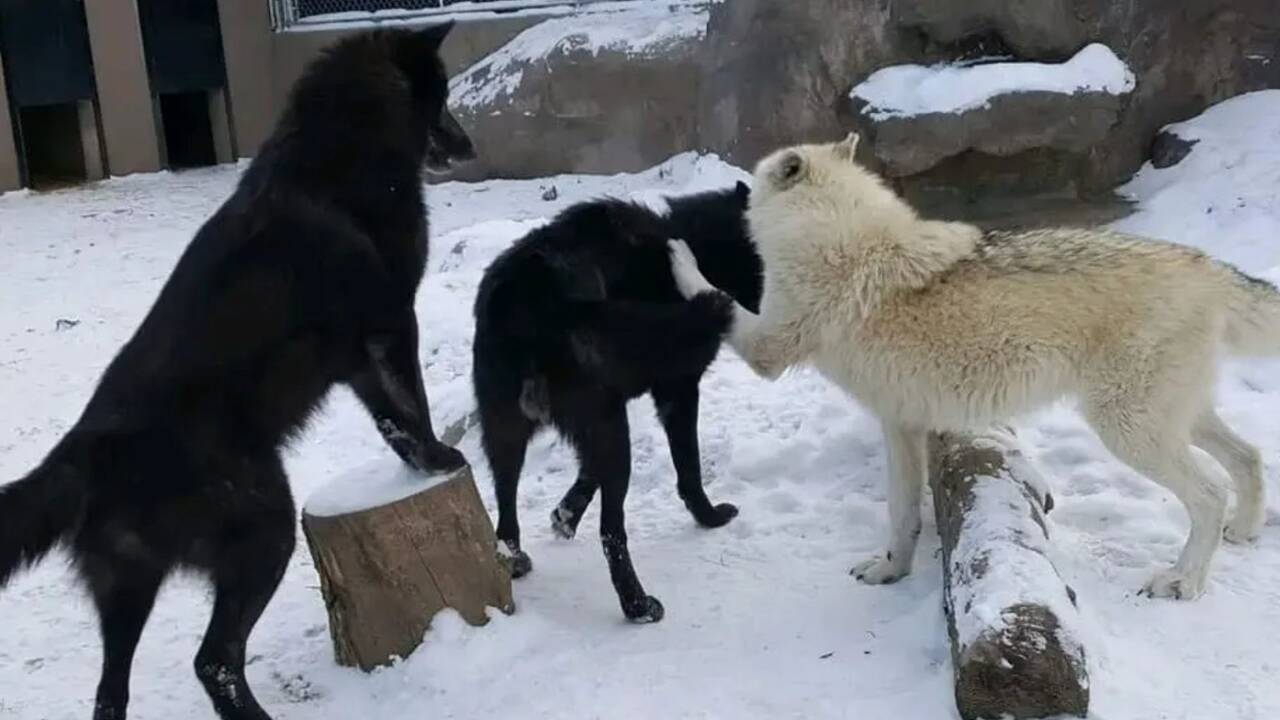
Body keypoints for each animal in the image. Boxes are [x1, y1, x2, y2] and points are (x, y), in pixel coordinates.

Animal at [0, 24, 473, 720]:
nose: (469, 147)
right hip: (265, 530)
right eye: (439, 96)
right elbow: (411, 404)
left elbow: (392, 419)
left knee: (111, 693)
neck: (336, 153)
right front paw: (440, 457)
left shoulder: (356, 357)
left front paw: (419, 461)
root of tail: (86, 450)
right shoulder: (391, 324)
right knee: (214, 659)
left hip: (129, 592)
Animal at [472, 183, 761, 622]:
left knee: (505, 505)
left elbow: (587, 471)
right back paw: (638, 605)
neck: (697, 242)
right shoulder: (677, 392)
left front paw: (565, 515)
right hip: (612, 433)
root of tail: (527, 302)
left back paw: (515, 560)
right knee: (612, 533)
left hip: (508, 433)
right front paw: (709, 517)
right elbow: (689, 470)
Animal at [669, 133, 1278, 600]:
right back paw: (1245, 531)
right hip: (1178, 419)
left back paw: (1182, 581)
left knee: (1210, 491)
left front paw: (676, 250)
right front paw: (890, 570)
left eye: (755, 182)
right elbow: (902, 514)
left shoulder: (769, 350)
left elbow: (713, 292)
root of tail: (1207, 266)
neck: (841, 237)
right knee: (1248, 457)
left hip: (1129, 431)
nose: (737, 192)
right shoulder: (901, 424)